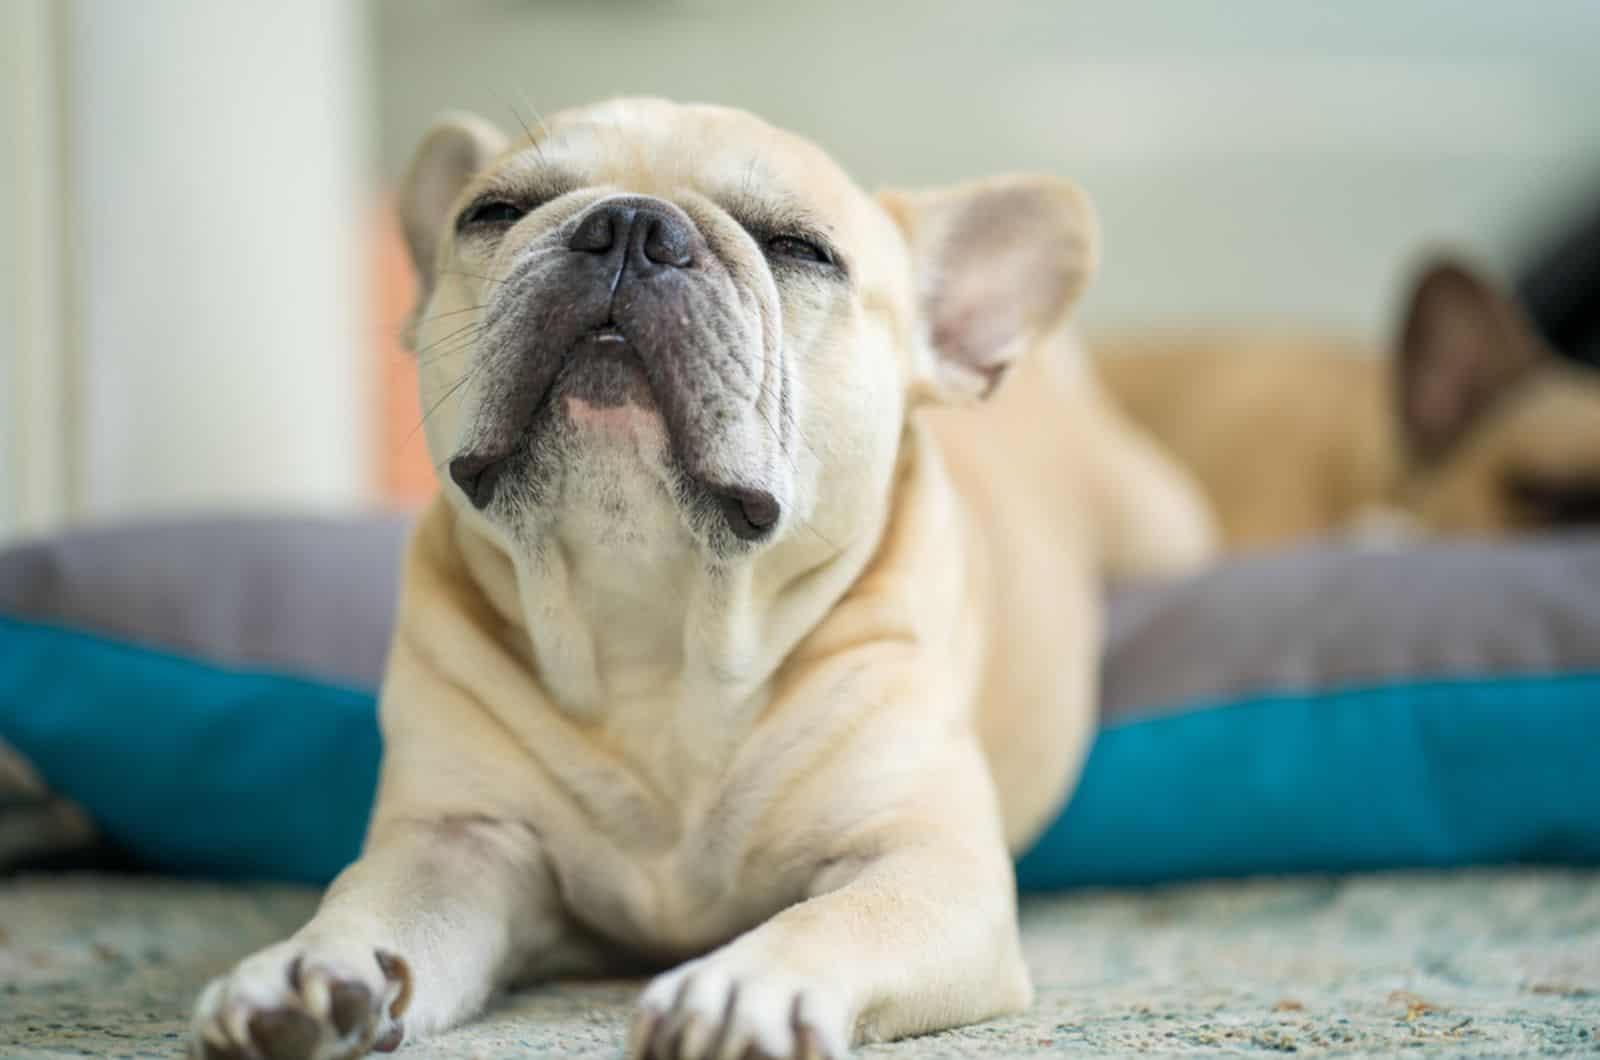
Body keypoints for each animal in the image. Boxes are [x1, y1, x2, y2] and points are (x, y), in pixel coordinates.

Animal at [187, 99, 1209, 1060]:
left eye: (801, 249)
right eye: (494, 211)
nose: (630, 225)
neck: (657, 616)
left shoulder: (924, 864)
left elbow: (834, 917)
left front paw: (748, 987)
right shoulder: (455, 843)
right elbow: (369, 899)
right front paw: (305, 968)